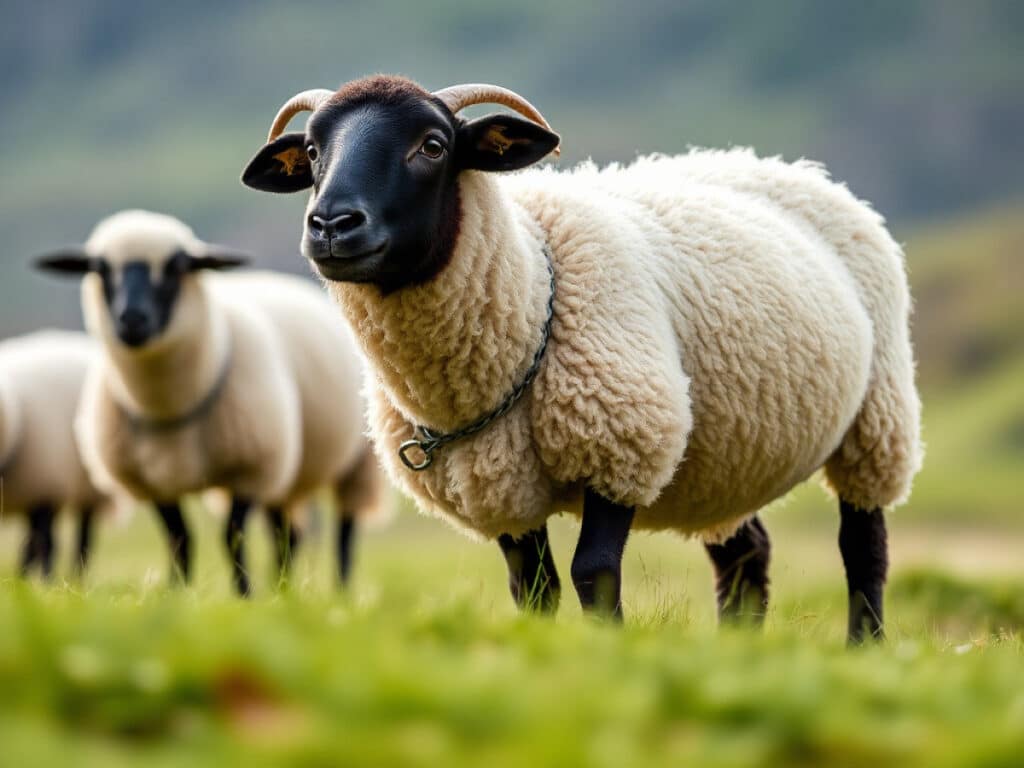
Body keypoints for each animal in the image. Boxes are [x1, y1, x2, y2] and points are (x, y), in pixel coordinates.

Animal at [35, 210, 381, 595]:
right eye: (100, 269)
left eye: (177, 266)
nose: (132, 319)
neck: (168, 405)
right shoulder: (155, 484)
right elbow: (180, 538)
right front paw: (176, 593)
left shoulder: (250, 468)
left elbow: (231, 535)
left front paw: (244, 594)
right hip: (285, 473)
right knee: (287, 534)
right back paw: (283, 590)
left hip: (355, 462)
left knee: (344, 532)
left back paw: (341, 591)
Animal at [241, 75, 922, 641]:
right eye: (312, 153)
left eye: (432, 146)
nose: (331, 224)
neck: (530, 291)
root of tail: (784, 165)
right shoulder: (499, 487)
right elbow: (534, 588)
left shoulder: (620, 444)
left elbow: (593, 572)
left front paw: (608, 651)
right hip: (726, 461)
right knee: (746, 553)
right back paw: (739, 651)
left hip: (877, 418)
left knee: (864, 548)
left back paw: (865, 646)